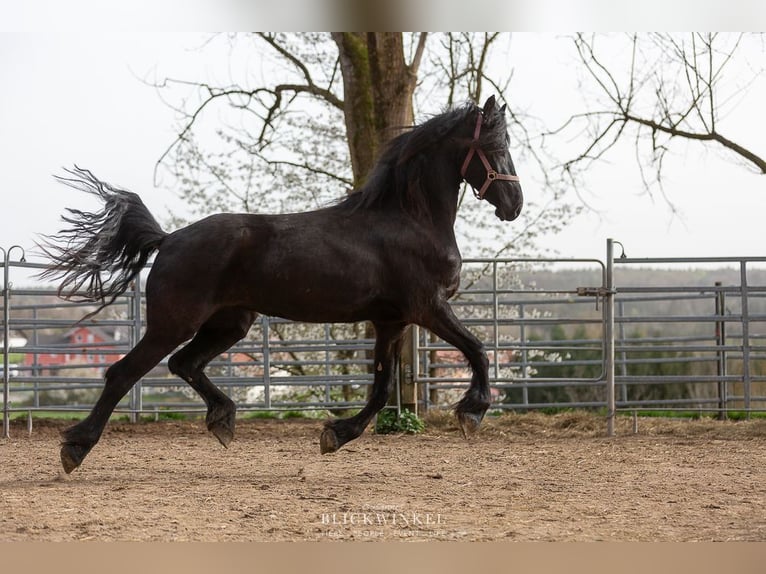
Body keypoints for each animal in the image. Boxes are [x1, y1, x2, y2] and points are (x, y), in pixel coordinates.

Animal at [41, 95, 523, 474]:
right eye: (496, 147)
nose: (514, 204)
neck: (409, 218)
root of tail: (170, 238)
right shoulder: (429, 306)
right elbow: (478, 348)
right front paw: (472, 412)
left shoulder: (392, 322)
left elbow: (383, 387)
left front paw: (336, 434)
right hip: (175, 323)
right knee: (124, 372)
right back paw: (75, 448)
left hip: (230, 323)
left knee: (184, 364)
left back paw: (223, 420)